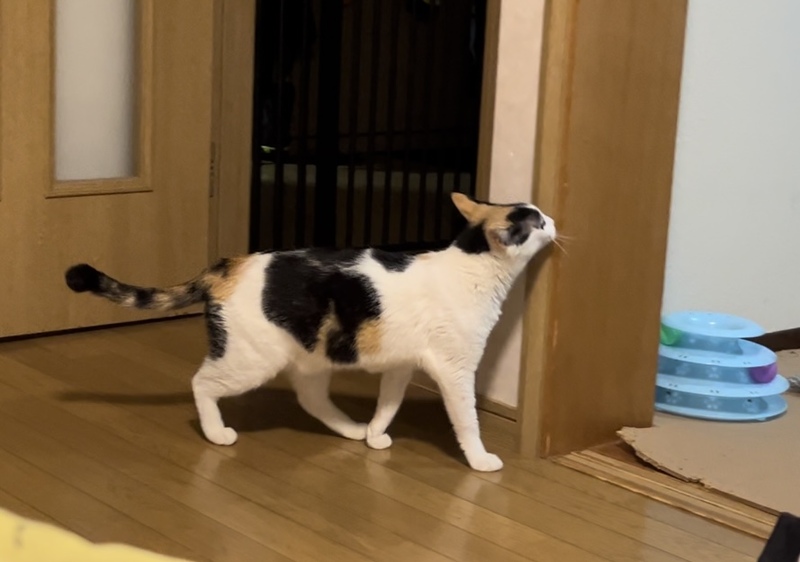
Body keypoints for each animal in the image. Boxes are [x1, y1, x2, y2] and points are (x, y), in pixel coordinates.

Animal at [64, 193, 555, 472]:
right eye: (537, 222)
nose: (554, 220)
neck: (471, 269)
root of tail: (224, 266)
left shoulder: (400, 364)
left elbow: (388, 404)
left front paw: (375, 434)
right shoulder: (455, 369)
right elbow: (467, 419)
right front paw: (481, 460)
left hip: (313, 354)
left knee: (310, 398)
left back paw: (353, 430)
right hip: (250, 359)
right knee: (201, 382)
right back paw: (217, 433)